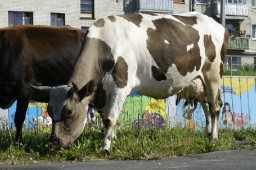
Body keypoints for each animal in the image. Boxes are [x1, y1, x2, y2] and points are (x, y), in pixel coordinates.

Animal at [31, 12, 229, 152]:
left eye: (69, 112)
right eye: (49, 111)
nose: (54, 143)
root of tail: (219, 25)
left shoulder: (121, 85)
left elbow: (109, 119)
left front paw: (105, 147)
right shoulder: (105, 91)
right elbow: (109, 117)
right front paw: (112, 139)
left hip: (213, 75)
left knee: (215, 107)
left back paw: (214, 138)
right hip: (198, 84)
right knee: (207, 107)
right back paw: (207, 134)